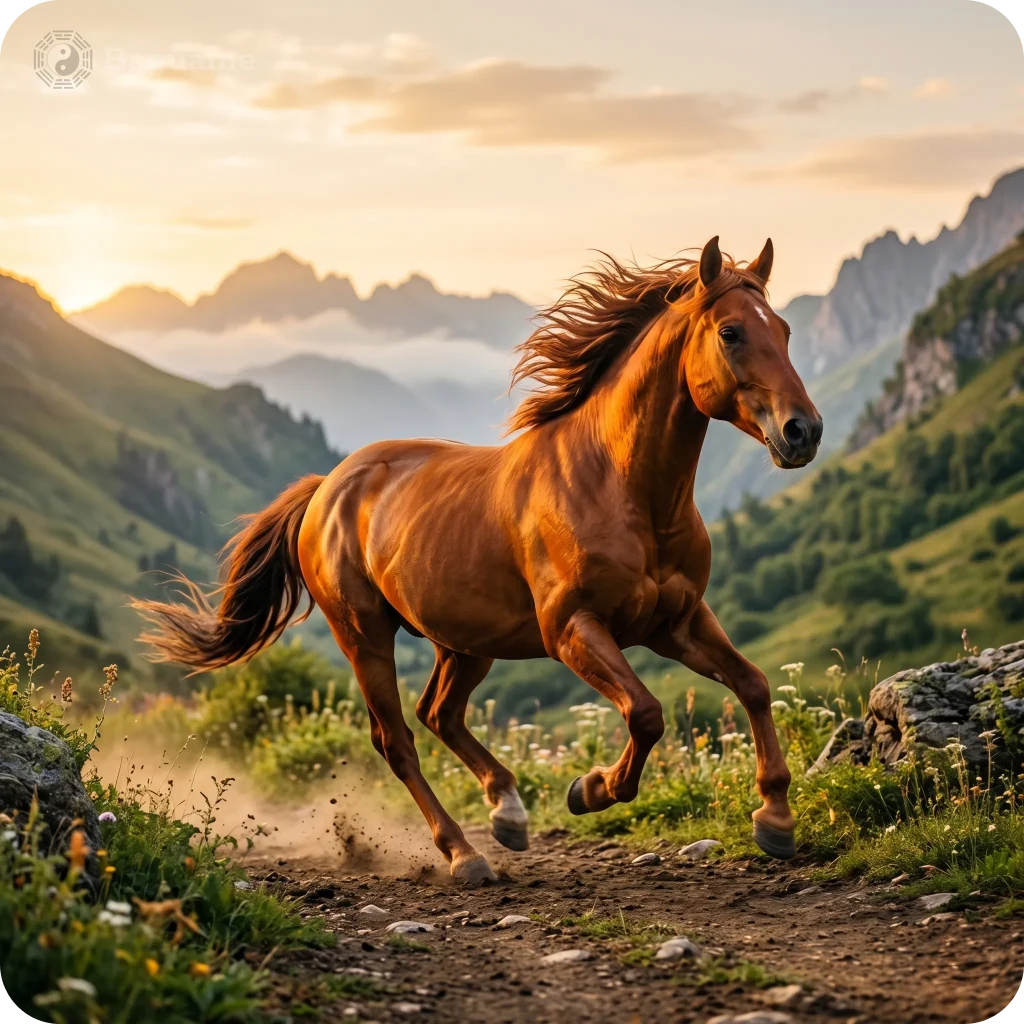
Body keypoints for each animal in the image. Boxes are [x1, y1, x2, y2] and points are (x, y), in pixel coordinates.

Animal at [134, 236, 823, 884]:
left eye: (786, 330)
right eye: (731, 332)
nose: (803, 432)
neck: (620, 488)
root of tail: (327, 487)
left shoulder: (676, 622)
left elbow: (753, 684)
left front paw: (775, 820)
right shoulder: (572, 629)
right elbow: (647, 714)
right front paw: (590, 789)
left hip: (465, 641)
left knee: (439, 713)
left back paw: (507, 812)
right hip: (365, 635)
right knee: (398, 740)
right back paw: (465, 854)